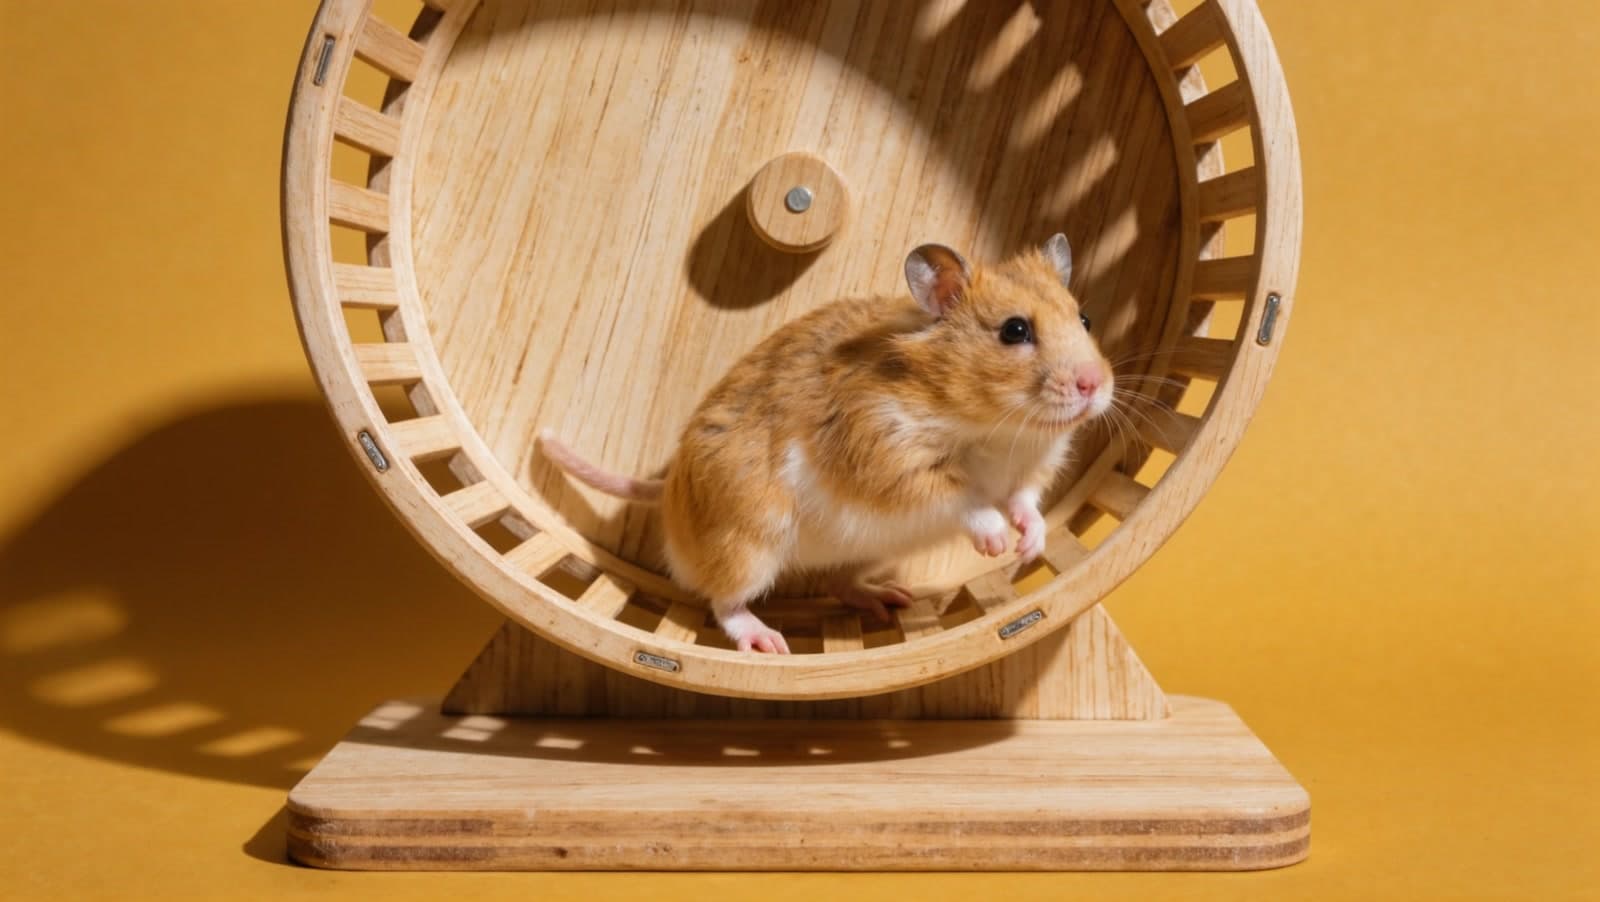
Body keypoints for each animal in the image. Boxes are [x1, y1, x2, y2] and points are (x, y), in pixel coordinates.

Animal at [538, 234, 1113, 654]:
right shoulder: (891, 458)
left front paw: (1029, 547)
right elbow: (965, 498)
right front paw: (996, 544)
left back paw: (888, 599)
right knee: (722, 602)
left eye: (1085, 319)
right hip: (748, 544)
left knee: (836, 584)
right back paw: (769, 643)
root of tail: (669, 486)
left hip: (863, 550)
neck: (999, 427)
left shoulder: (1030, 470)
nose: (1095, 385)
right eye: (1014, 330)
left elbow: (1025, 504)